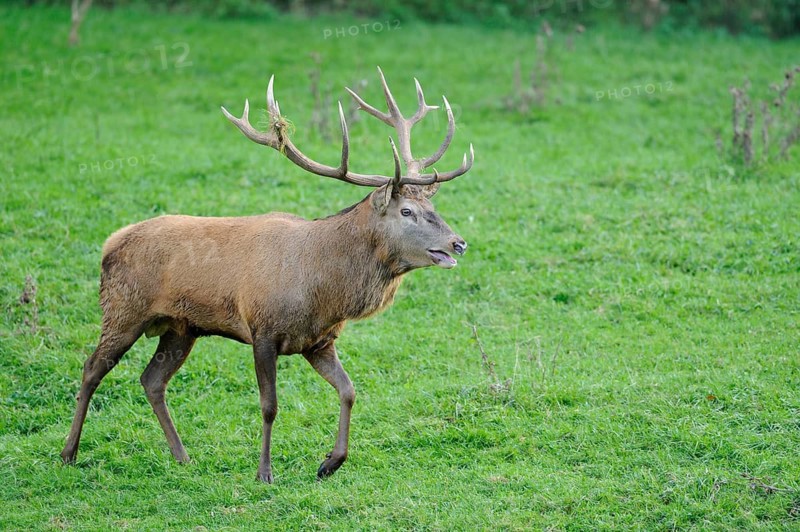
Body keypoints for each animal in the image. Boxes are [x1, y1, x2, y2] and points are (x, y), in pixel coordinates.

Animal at [60, 67, 474, 483]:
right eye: (406, 211)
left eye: (432, 207)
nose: (458, 243)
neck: (324, 289)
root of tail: (110, 243)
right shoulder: (262, 328)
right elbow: (269, 405)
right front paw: (264, 472)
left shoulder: (319, 341)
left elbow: (349, 391)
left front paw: (330, 462)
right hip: (123, 309)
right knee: (92, 368)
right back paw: (68, 452)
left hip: (180, 327)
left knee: (152, 380)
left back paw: (182, 456)